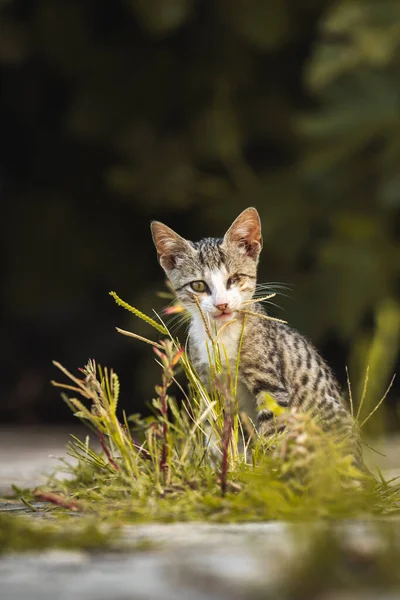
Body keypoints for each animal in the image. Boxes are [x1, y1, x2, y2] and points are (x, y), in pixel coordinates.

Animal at [152, 209, 360, 452]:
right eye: (199, 286)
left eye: (235, 279)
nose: (222, 304)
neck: (221, 334)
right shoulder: (208, 382)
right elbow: (215, 429)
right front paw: (220, 458)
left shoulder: (270, 383)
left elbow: (272, 431)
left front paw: (268, 460)